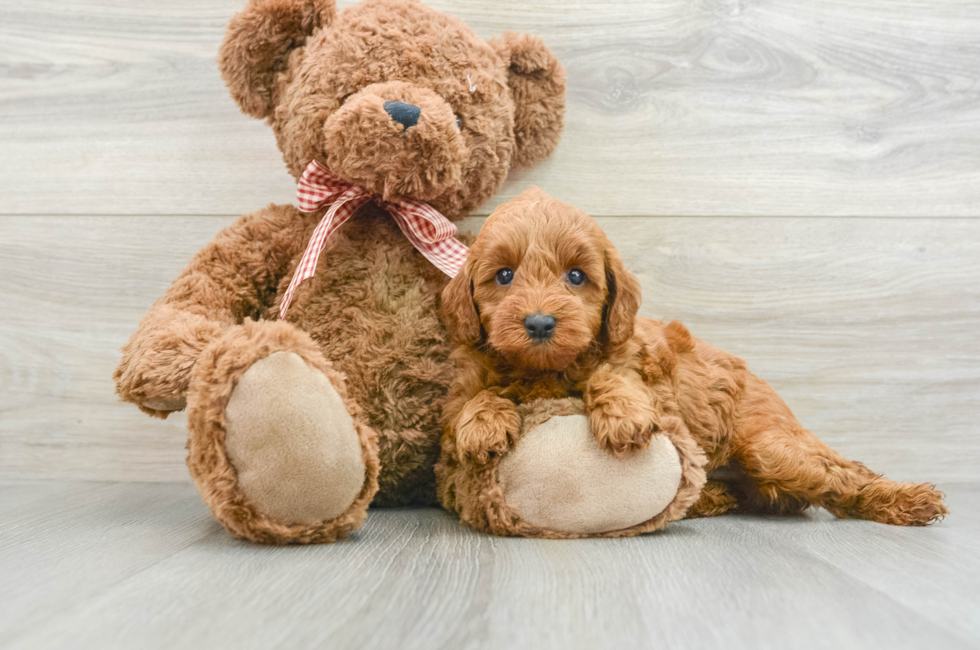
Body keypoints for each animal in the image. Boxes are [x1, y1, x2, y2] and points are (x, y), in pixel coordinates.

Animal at [442, 185, 948, 524]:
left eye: (576, 276)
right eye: (504, 275)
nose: (540, 323)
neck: (545, 370)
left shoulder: (645, 372)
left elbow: (614, 374)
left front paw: (623, 414)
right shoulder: (455, 405)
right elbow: (474, 400)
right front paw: (484, 423)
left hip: (770, 447)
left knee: (843, 474)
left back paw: (906, 500)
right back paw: (710, 498)